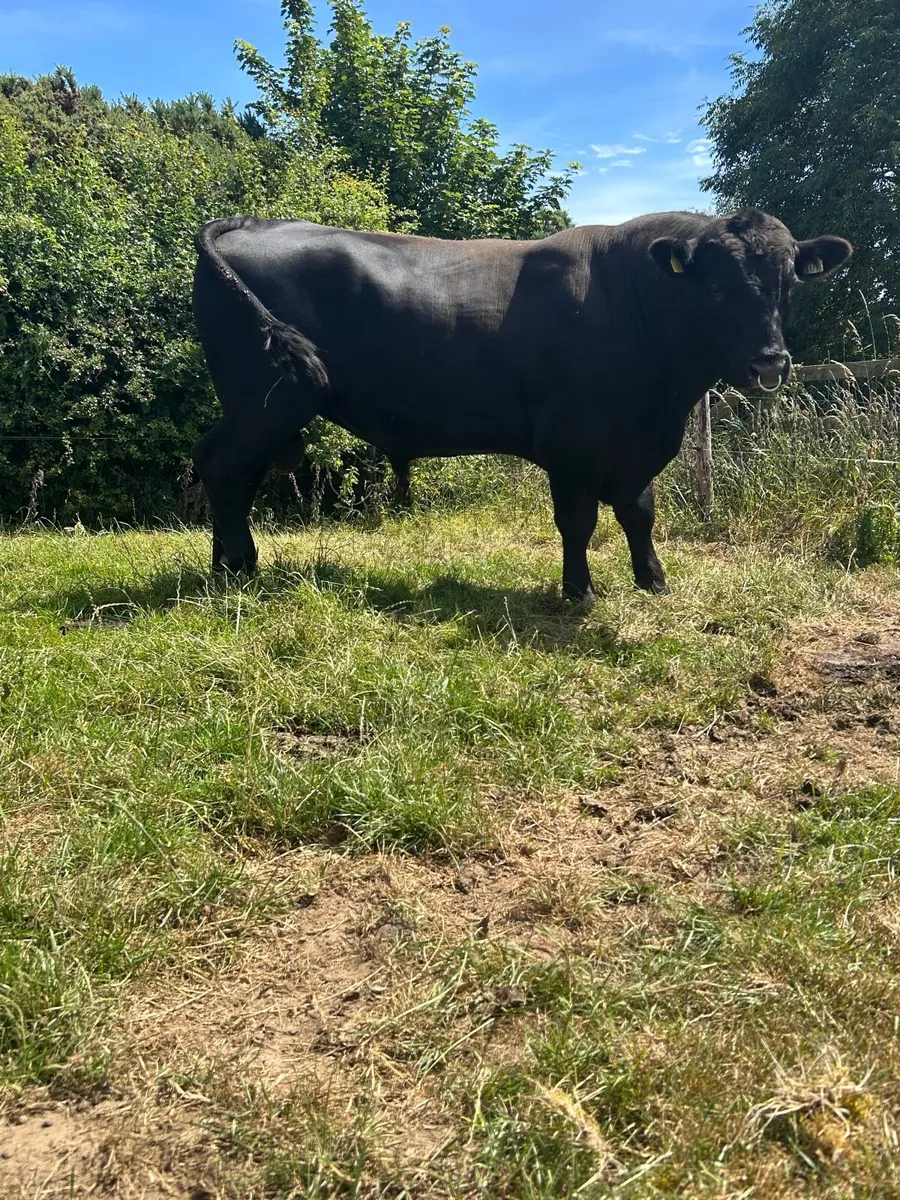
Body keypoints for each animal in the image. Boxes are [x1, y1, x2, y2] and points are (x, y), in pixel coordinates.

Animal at [191, 209, 851, 599]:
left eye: (789, 283)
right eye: (714, 286)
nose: (771, 363)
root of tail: (248, 225)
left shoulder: (638, 442)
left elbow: (639, 512)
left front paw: (653, 580)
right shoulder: (574, 443)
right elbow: (578, 521)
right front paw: (579, 591)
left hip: (259, 409)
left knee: (228, 468)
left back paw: (232, 562)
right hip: (265, 402)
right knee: (224, 467)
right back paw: (234, 570)